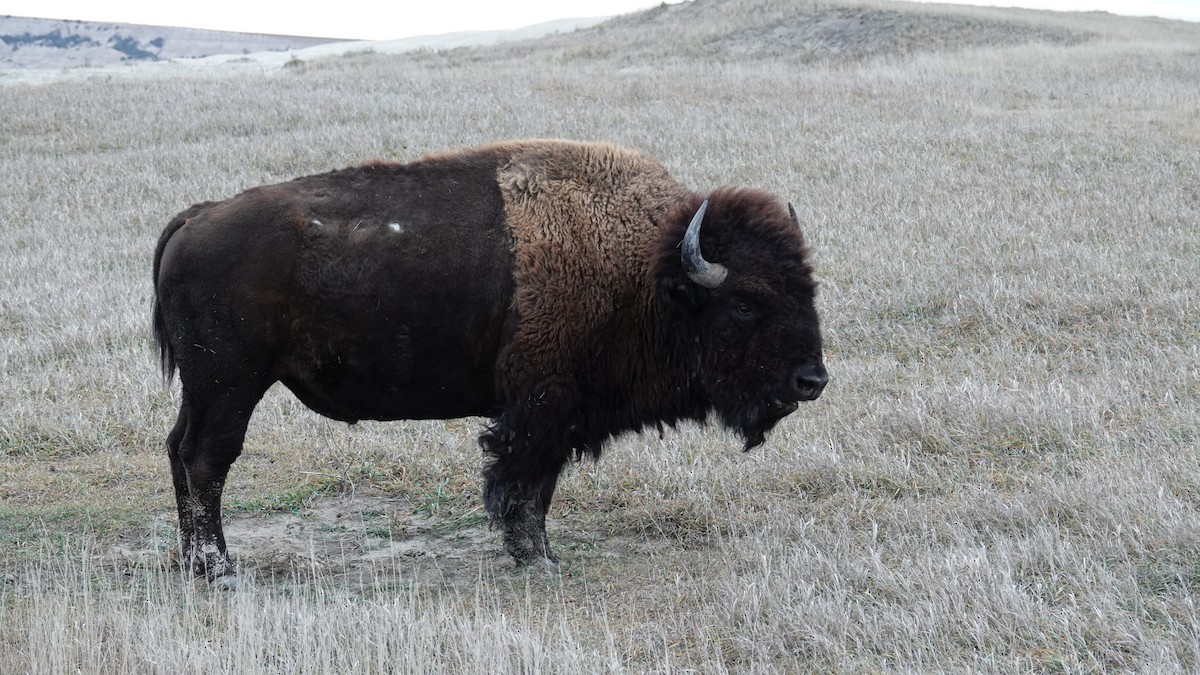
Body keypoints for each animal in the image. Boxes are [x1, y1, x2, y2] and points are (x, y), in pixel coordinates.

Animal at [152, 140, 828, 584]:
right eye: (745, 303)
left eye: (808, 287)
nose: (812, 380)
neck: (650, 268)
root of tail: (196, 217)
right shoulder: (542, 406)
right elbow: (524, 482)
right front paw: (535, 556)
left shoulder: (559, 412)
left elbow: (541, 485)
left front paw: (541, 554)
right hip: (231, 383)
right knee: (208, 459)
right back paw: (218, 569)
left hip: (205, 388)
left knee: (179, 450)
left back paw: (193, 563)